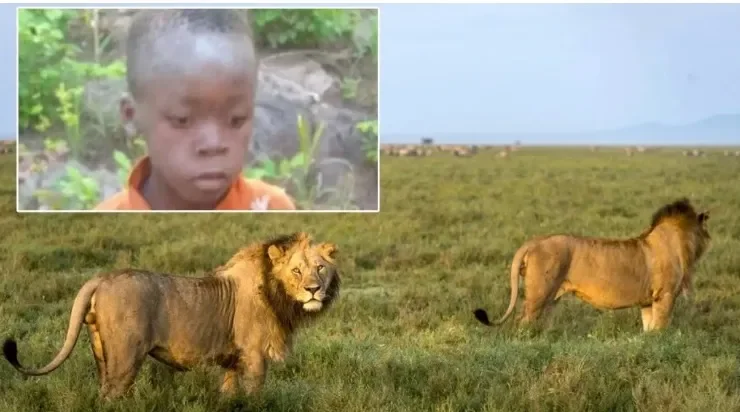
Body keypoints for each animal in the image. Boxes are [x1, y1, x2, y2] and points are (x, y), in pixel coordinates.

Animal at [3, 232, 340, 399]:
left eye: (320, 268)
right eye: (296, 270)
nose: (313, 290)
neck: (278, 296)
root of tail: (100, 278)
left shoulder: (233, 362)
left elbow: (229, 395)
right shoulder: (255, 357)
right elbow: (255, 397)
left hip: (100, 352)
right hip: (126, 358)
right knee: (110, 396)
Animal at [473, 198, 711, 332]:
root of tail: (535, 241)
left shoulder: (647, 301)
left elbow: (649, 329)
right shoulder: (665, 296)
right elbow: (660, 329)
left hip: (550, 299)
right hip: (538, 295)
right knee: (522, 322)